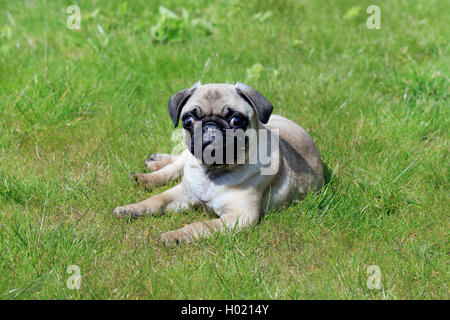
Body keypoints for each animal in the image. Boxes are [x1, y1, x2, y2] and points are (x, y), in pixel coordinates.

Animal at [112, 82, 324, 245]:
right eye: (188, 120)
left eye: (236, 120)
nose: (210, 125)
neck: (213, 173)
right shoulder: (184, 192)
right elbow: (157, 200)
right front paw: (132, 208)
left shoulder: (239, 217)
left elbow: (201, 225)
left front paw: (176, 235)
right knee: (176, 164)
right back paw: (146, 176)